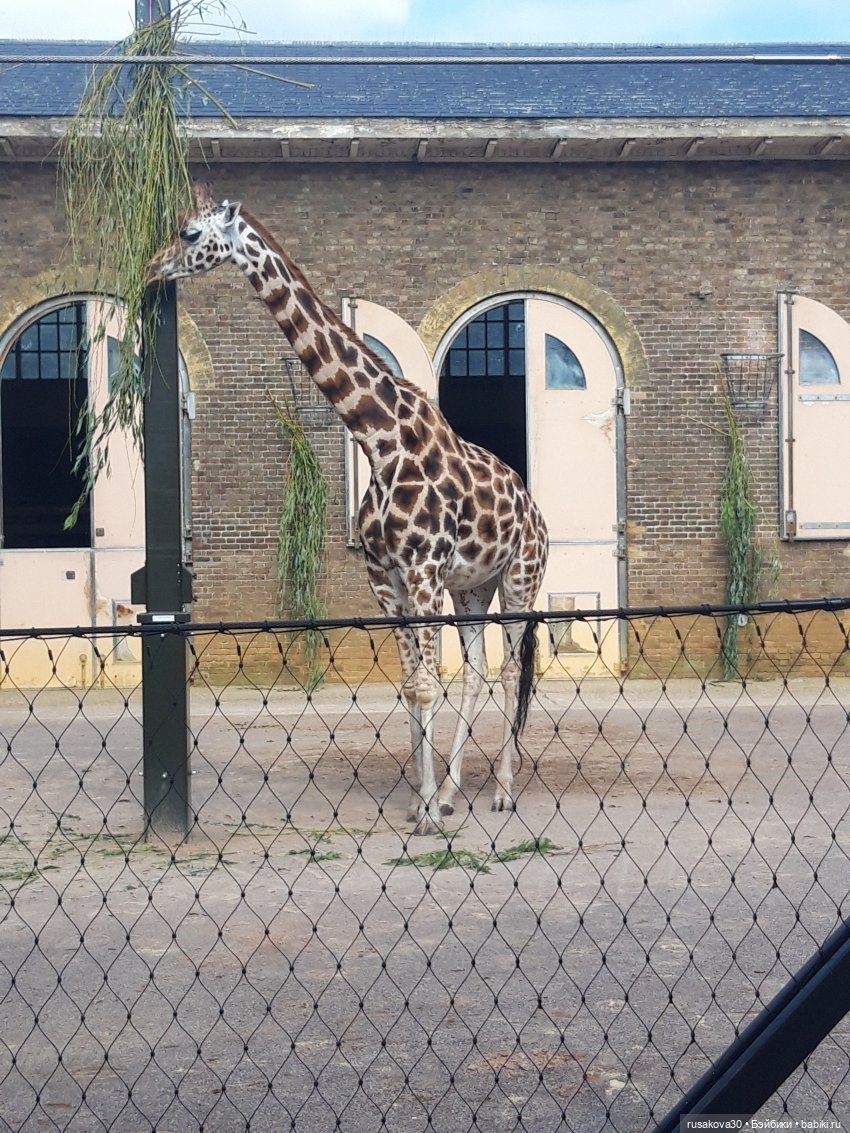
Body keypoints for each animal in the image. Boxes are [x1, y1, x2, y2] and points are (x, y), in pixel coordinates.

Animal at [148, 185, 553, 838]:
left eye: (188, 233)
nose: (151, 268)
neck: (379, 439)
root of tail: (536, 514)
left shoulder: (421, 571)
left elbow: (425, 686)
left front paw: (426, 815)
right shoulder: (386, 579)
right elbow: (411, 686)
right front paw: (422, 802)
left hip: (520, 580)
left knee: (514, 669)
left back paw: (501, 793)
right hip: (472, 587)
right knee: (477, 671)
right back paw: (455, 793)